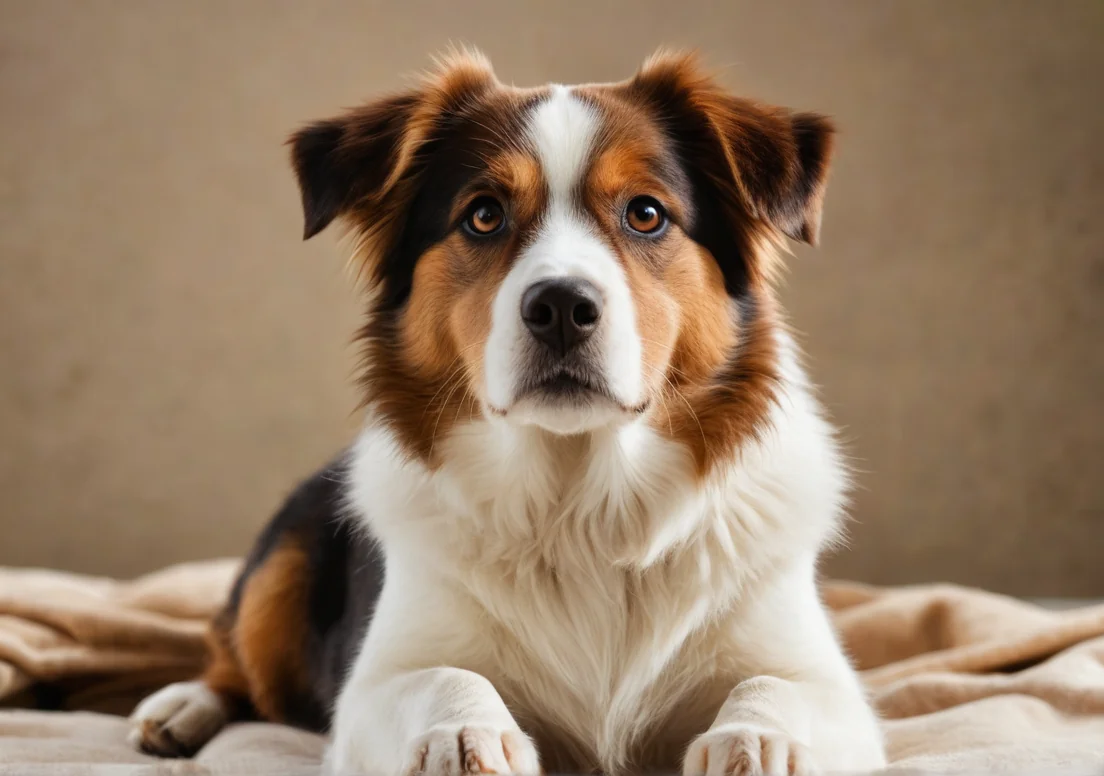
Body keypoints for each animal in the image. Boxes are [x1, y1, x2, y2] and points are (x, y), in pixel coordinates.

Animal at [126, 50, 887, 776]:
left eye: (646, 214)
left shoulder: (835, 689)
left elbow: (776, 687)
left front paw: (759, 740)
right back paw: (179, 708)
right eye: (484, 215)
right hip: (280, 566)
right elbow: (445, 676)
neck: (582, 503)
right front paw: (462, 734)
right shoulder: (368, 690)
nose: (562, 307)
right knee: (231, 660)